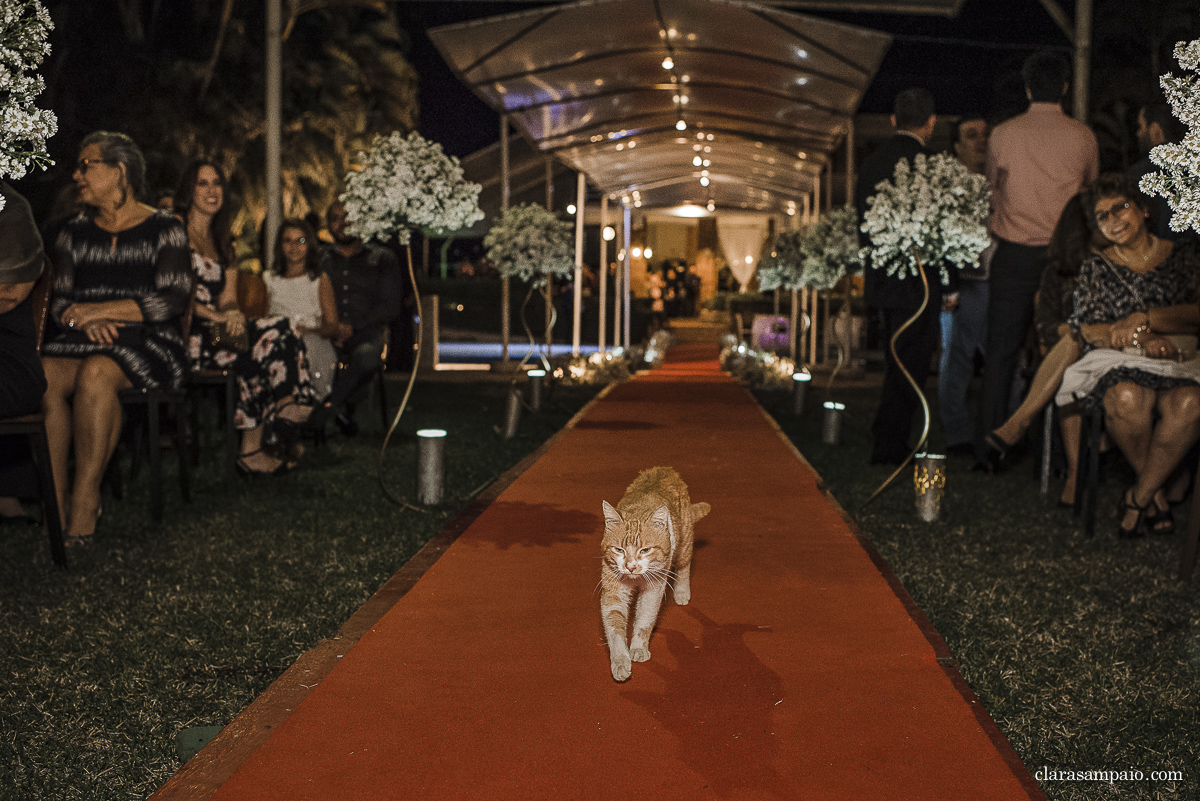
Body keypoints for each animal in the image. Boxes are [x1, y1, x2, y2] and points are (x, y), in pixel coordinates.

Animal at [597, 470, 705, 681]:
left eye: (645, 550)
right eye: (619, 549)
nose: (630, 567)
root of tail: (665, 468)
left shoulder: (654, 589)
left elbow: (645, 620)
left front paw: (639, 648)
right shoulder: (613, 593)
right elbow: (614, 629)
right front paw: (620, 662)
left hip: (684, 543)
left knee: (684, 565)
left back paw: (682, 592)